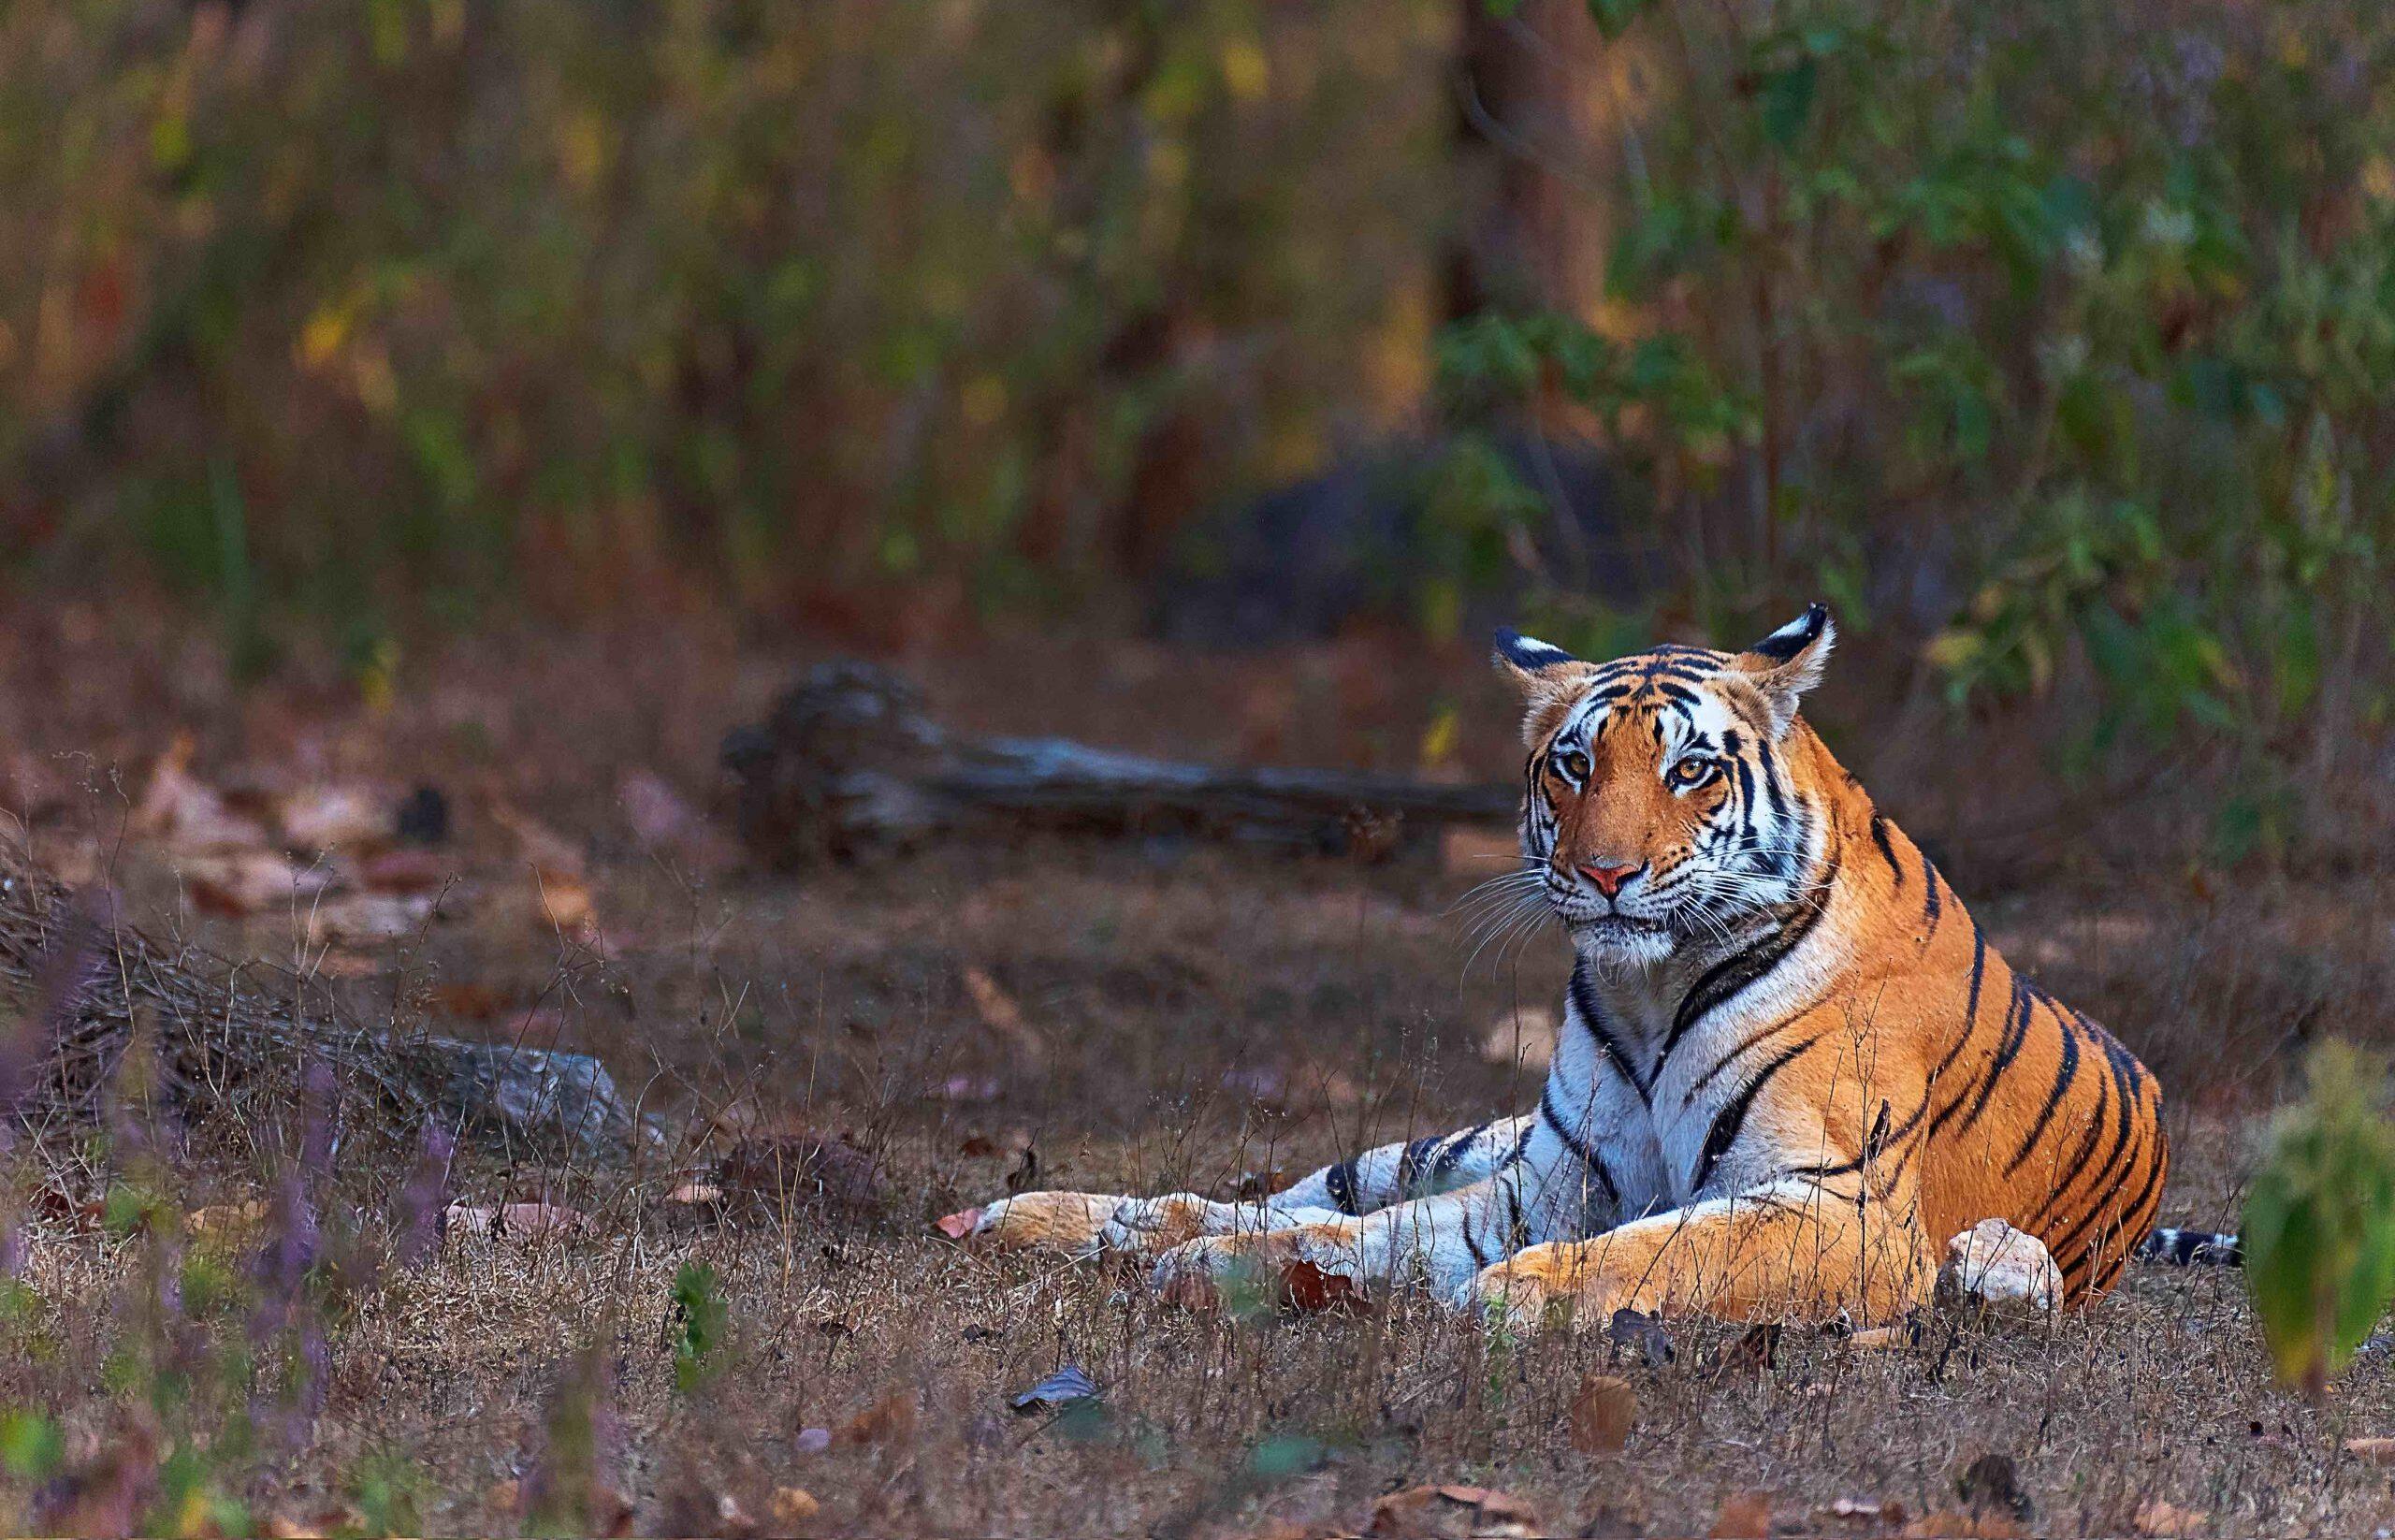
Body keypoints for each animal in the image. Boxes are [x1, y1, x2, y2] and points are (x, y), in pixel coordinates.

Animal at [951, 607, 2221, 1328]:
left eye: (1691, 769)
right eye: (1570, 764)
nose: (1605, 872)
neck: (1647, 990)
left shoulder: (1837, 1201)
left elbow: (1673, 1244)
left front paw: (1519, 1292)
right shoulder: (1545, 1179)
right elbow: (1362, 1233)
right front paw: (1216, 1265)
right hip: (1457, 1138)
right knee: (1286, 1189)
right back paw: (1039, 1218)